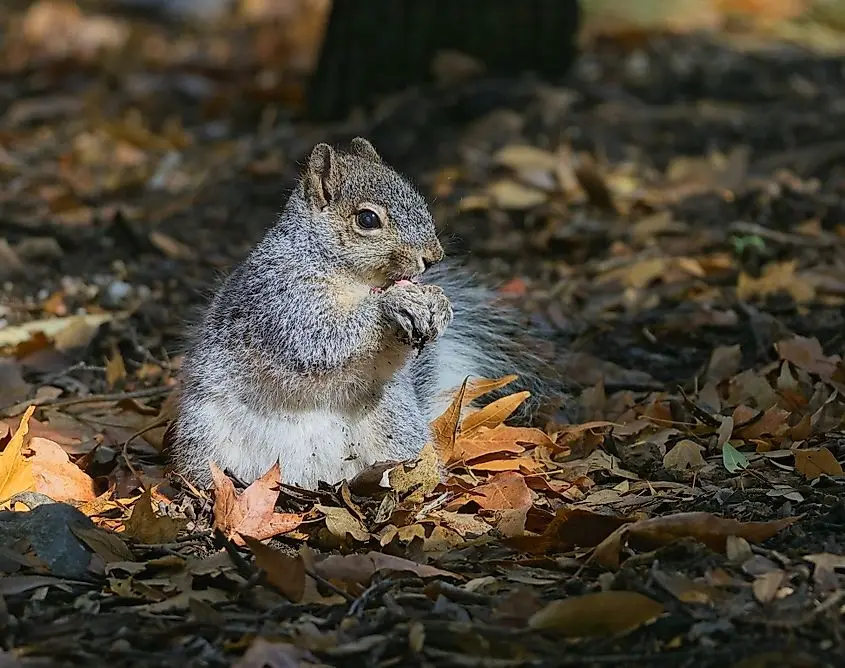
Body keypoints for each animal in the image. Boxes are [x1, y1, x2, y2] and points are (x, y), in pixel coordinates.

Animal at [170, 137, 560, 490]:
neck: (355, 280)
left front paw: (437, 303)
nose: (433, 257)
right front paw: (392, 305)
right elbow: (318, 338)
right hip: (205, 433)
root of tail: (312, 477)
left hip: (398, 430)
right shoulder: (280, 299)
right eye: (368, 219)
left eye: (418, 198)